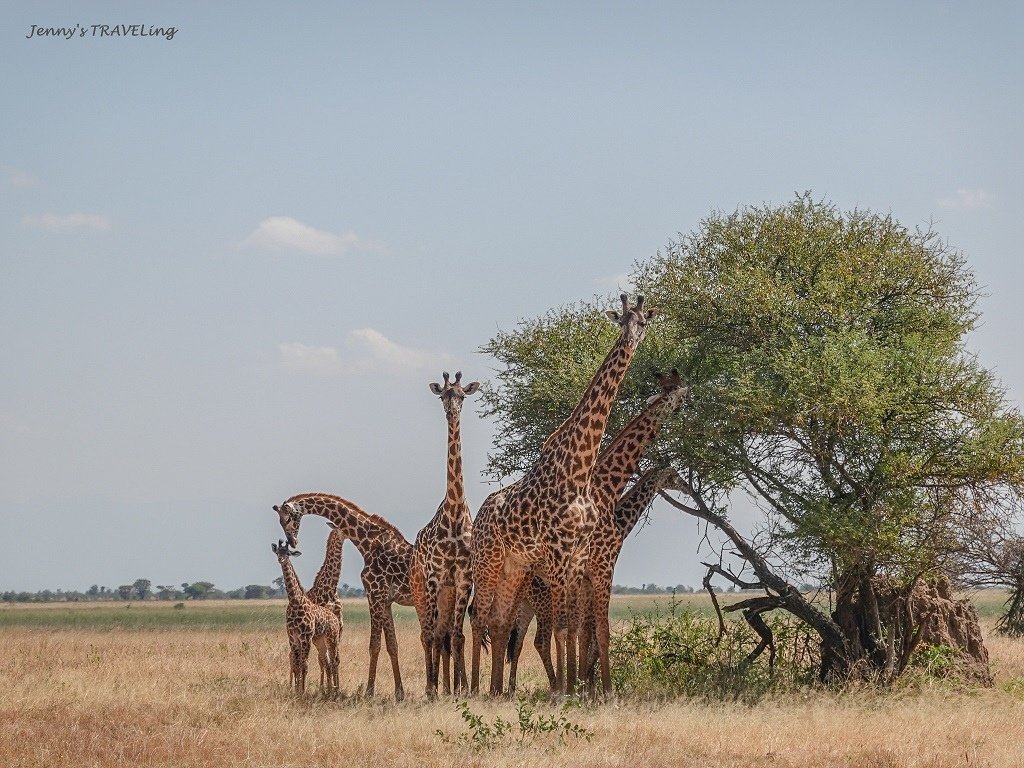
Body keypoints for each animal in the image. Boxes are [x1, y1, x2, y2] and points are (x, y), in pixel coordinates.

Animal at [270, 540, 342, 696]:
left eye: (288, 553)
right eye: (278, 552)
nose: (281, 559)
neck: (295, 601)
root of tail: (334, 617)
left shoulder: (305, 637)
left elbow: (305, 665)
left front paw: (302, 692)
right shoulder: (293, 637)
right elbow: (297, 664)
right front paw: (297, 692)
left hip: (332, 638)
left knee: (334, 660)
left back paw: (335, 691)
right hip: (320, 640)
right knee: (327, 662)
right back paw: (329, 691)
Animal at [468, 294, 651, 696]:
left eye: (643, 322)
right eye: (622, 320)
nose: (631, 341)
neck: (579, 471)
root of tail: (479, 515)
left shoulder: (575, 556)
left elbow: (571, 627)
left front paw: (574, 688)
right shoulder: (558, 553)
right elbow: (565, 628)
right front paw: (566, 691)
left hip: (514, 568)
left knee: (500, 621)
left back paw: (495, 690)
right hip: (488, 562)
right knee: (480, 617)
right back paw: (471, 689)